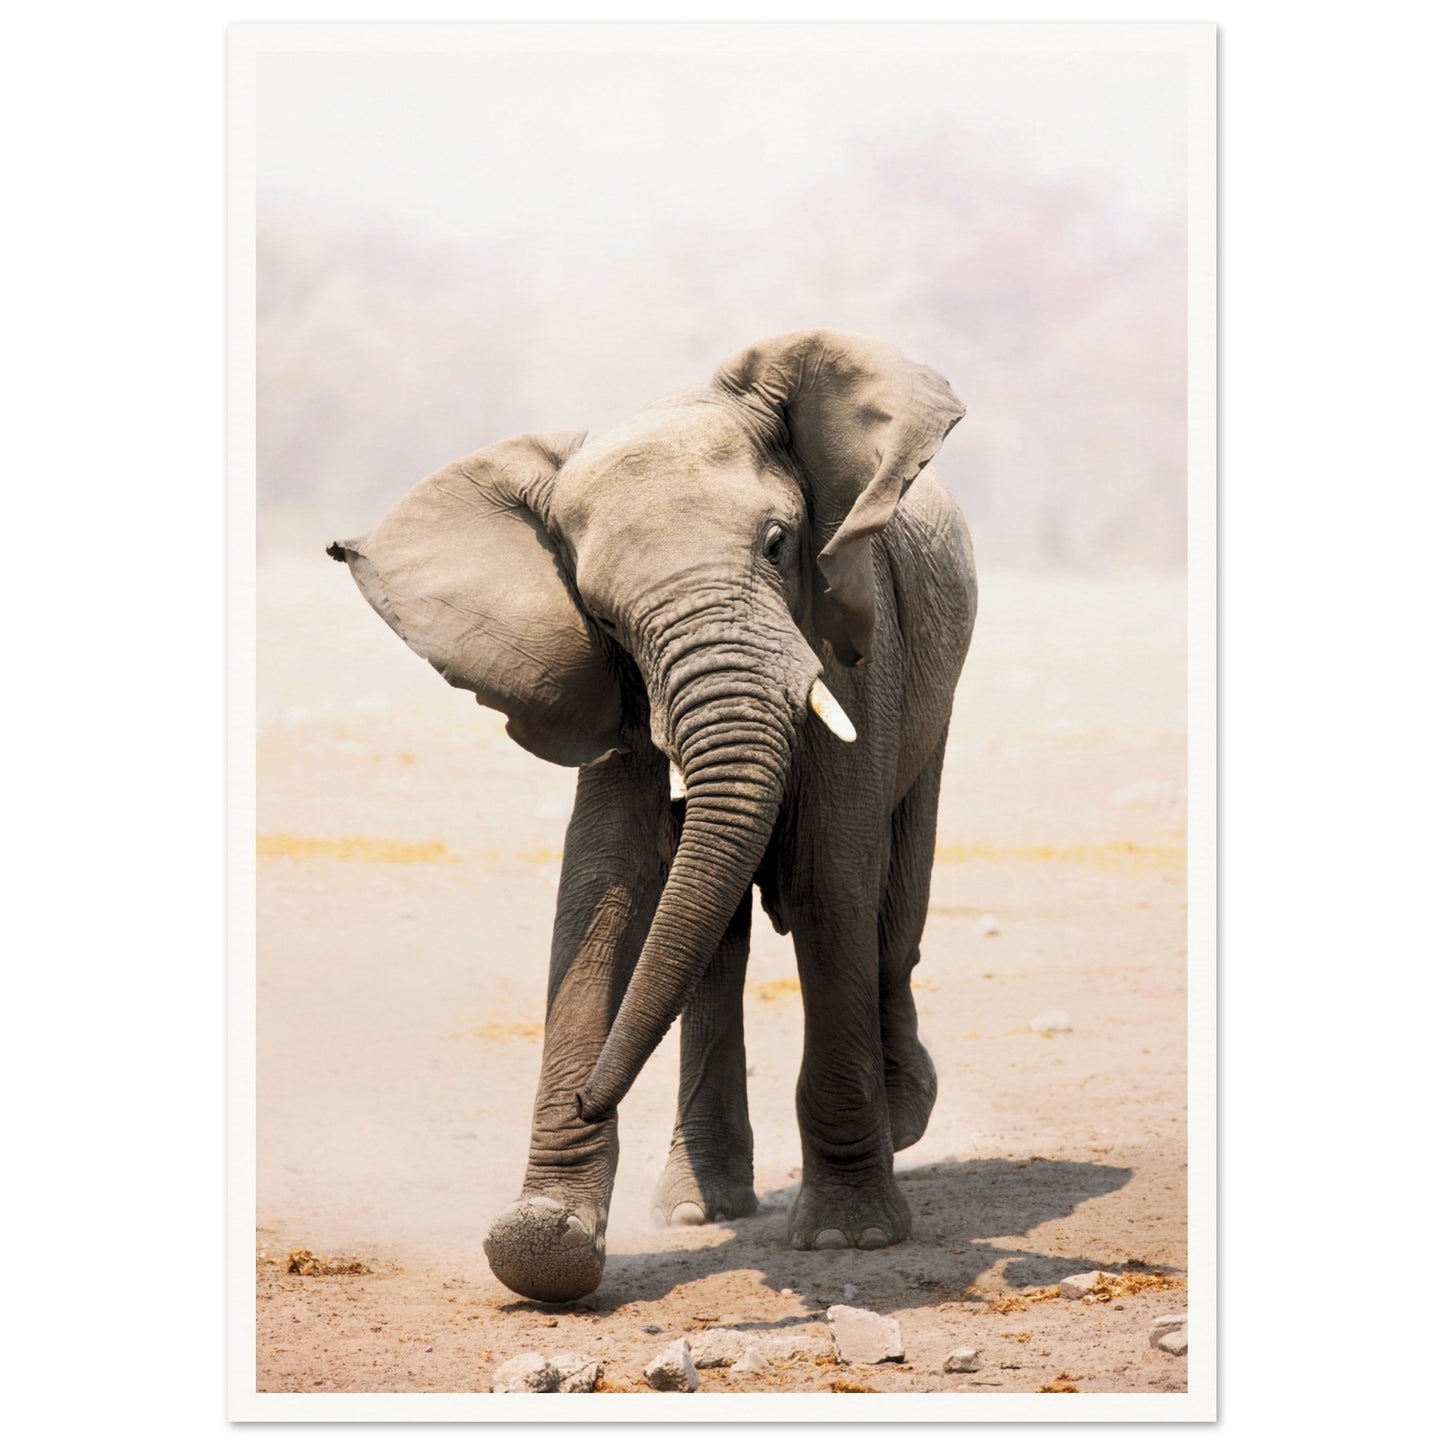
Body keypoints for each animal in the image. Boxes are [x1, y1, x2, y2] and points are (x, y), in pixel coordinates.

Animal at [328, 329, 977, 1303]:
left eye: (777, 543)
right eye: (598, 611)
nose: (588, 1096)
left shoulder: (857, 637)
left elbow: (828, 876)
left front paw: (848, 1238)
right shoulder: (603, 683)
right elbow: (607, 882)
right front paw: (543, 1245)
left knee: (893, 906)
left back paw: (905, 1115)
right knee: (716, 935)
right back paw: (696, 1207)